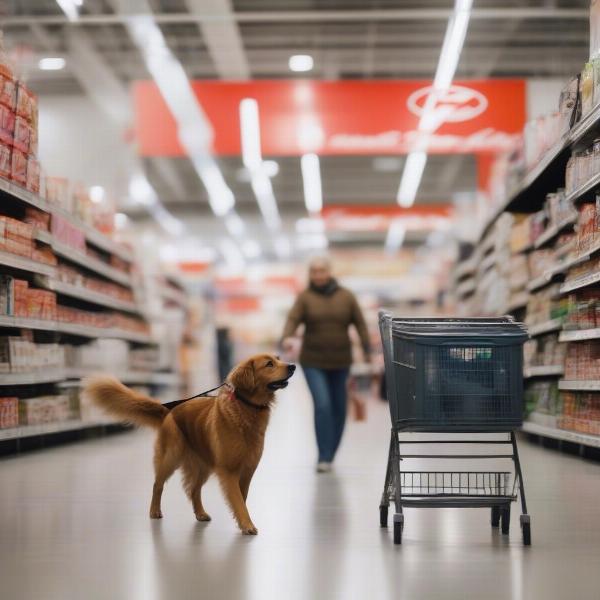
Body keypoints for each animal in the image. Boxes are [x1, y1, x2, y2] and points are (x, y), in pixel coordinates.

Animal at [84, 352, 296, 536]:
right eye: (269, 364)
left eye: (278, 359)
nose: (293, 366)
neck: (246, 409)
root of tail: (169, 411)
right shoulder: (229, 471)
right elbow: (237, 499)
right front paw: (247, 524)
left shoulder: (247, 470)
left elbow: (241, 499)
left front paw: (241, 522)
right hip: (171, 457)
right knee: (157, 484)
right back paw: (154, 510)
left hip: (204, 464)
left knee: (194, 490)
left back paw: (200, 513)